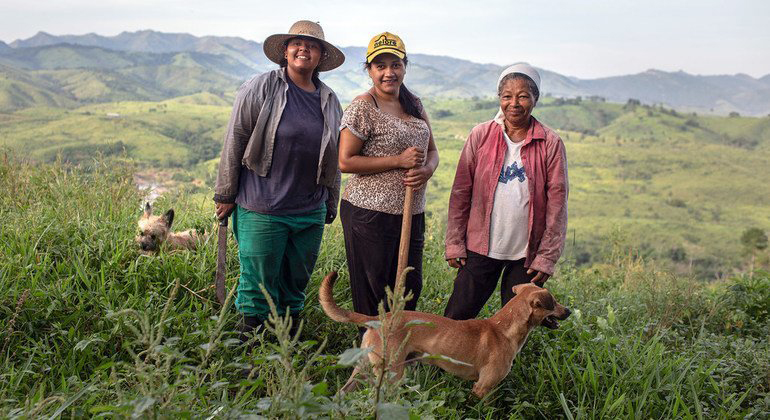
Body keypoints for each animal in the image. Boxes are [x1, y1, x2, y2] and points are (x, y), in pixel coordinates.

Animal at [318, 272, 568, 398]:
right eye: (554, 302)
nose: (568, 311)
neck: (503, 328)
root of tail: (377, 319)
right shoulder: (483, 388)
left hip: (363, 369)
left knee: (342, 393)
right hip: (391, 374)